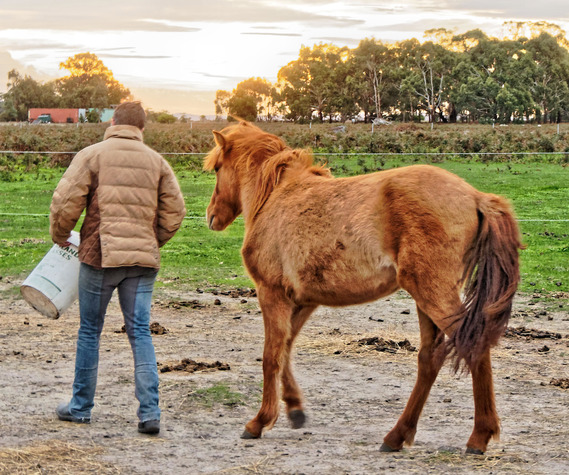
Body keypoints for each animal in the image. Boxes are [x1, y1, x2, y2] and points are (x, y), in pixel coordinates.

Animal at [202, 119, 520, 454]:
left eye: (217, 168)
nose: (211, 216)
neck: (276, 196)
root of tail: (476, 197)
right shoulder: (304, 300)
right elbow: (286, 349)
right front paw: (295, 410)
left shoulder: (271, 293)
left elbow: (271, 356)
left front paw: (260, 421)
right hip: (426, 298)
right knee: (429, 359)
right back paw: (397, 436)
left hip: (434, 294)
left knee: (473, 345)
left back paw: (479, 436)